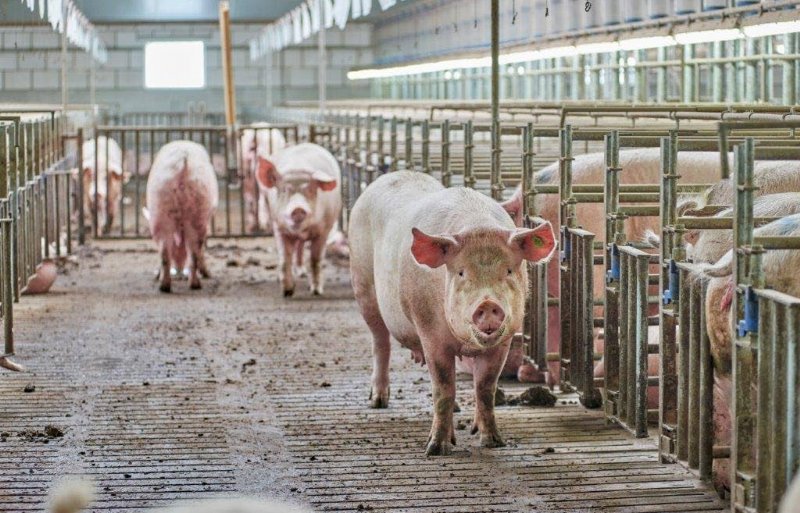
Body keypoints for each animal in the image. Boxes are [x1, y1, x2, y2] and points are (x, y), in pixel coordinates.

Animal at [256, 144, 340, 296]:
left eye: (311, 190)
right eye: (284, 190)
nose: (298, 208)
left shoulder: (324, 229)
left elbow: (315, 259)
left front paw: (316, 291)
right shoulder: (279, 227)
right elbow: (284, 259)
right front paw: (287, 292)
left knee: (301, 247)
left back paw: (302, 273)